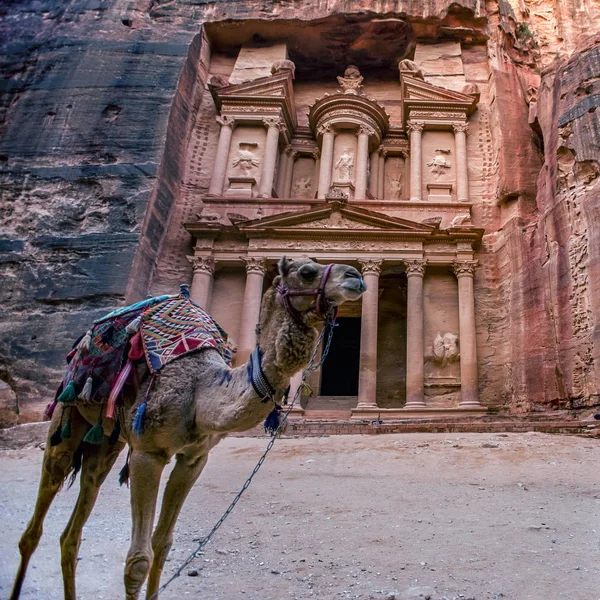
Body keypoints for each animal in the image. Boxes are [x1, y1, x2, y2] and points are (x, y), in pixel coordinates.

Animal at [10, 256, 366, 600]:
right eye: (307, 271)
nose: (356, 275)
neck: (201, 390)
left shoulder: (194, 458)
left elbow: (162, 544)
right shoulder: (148, 454)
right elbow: (137, 561)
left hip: (108, 441)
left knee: (74, 527)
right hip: (68, 420)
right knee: (35, 524)